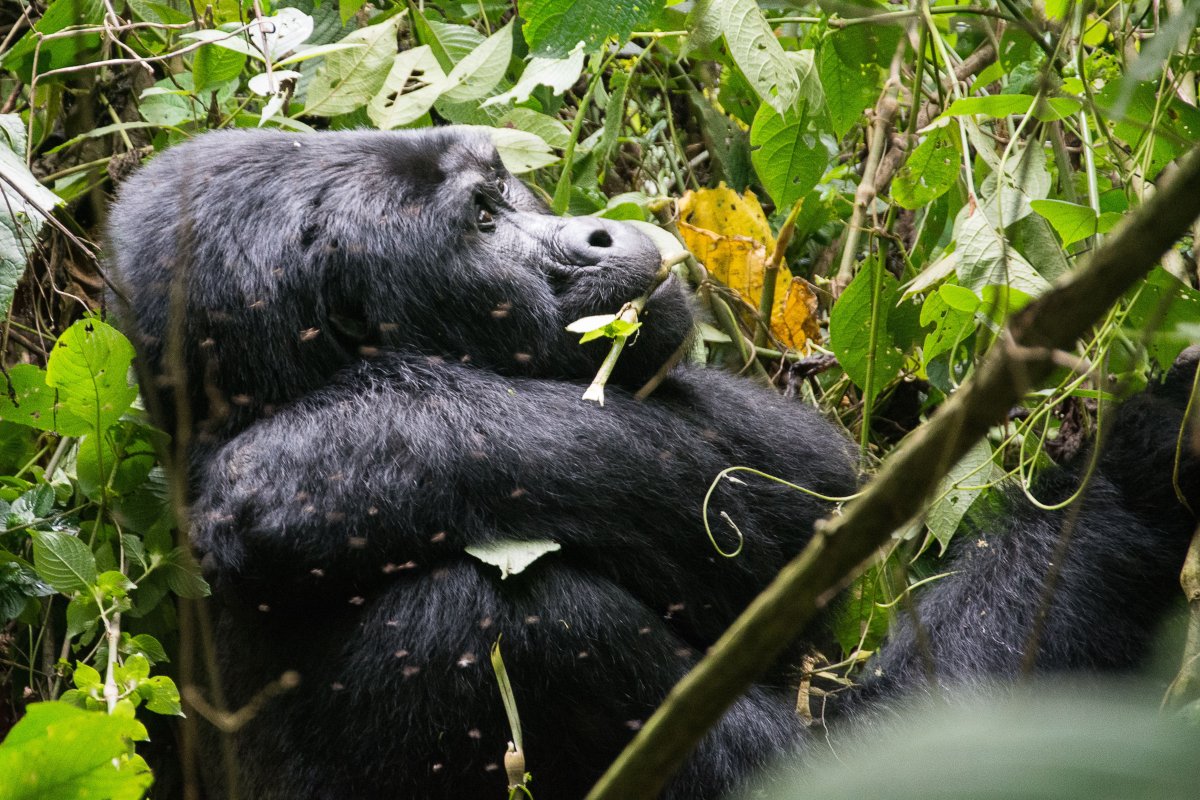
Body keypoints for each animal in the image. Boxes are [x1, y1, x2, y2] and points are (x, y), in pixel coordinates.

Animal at [105, 128, 1200, 796]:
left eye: (503, 188)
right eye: (481, 222)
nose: (595, 229)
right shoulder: (506, 632)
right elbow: (875, 753)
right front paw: (1143, 459)